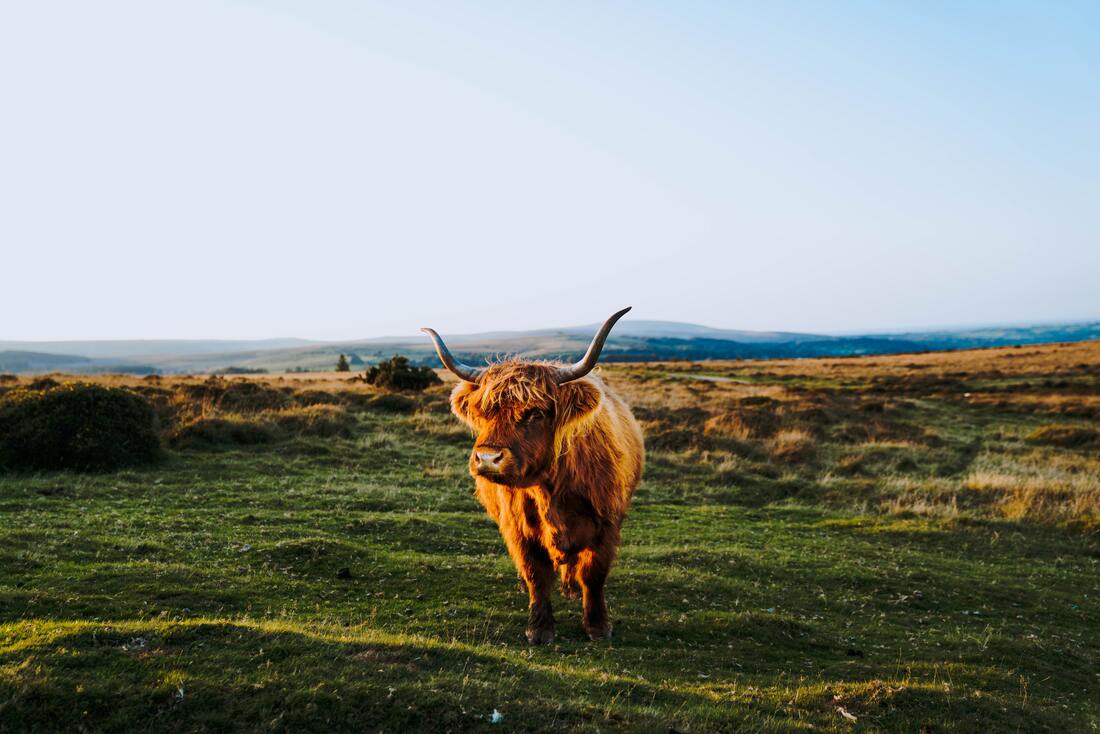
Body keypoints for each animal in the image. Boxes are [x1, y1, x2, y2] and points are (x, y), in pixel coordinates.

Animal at [420, 308, 642, 647]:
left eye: (535, 413)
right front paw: (539, 629)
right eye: (483, 412)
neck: (551, 489)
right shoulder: (518, 529)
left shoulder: (606, 525)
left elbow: (593, 574)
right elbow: (536, 574)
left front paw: (597, 627)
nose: (488, 458)